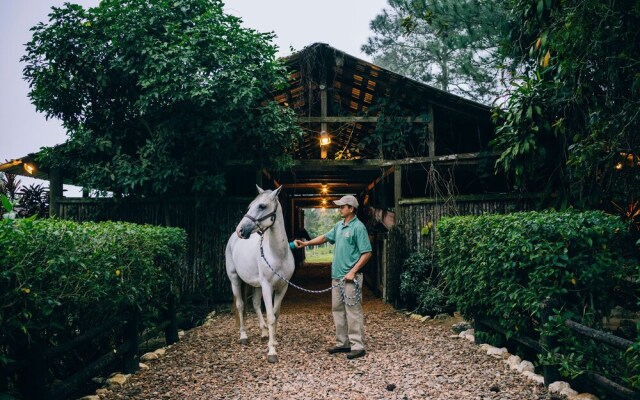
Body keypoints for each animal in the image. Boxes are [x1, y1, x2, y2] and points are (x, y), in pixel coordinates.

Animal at [225, 184, 296, 362]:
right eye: (250, 206)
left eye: (262, 206)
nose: (240, 230)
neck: (278, 255)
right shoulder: (267, 286)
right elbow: (270, 316)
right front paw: (272, 352)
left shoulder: (282, 287)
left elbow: (276, 314)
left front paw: (273, 341)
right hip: (235, 279)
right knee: (241, 305)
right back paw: (243, 336)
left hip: (256, 284)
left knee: (256, 303)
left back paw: (263, 333)